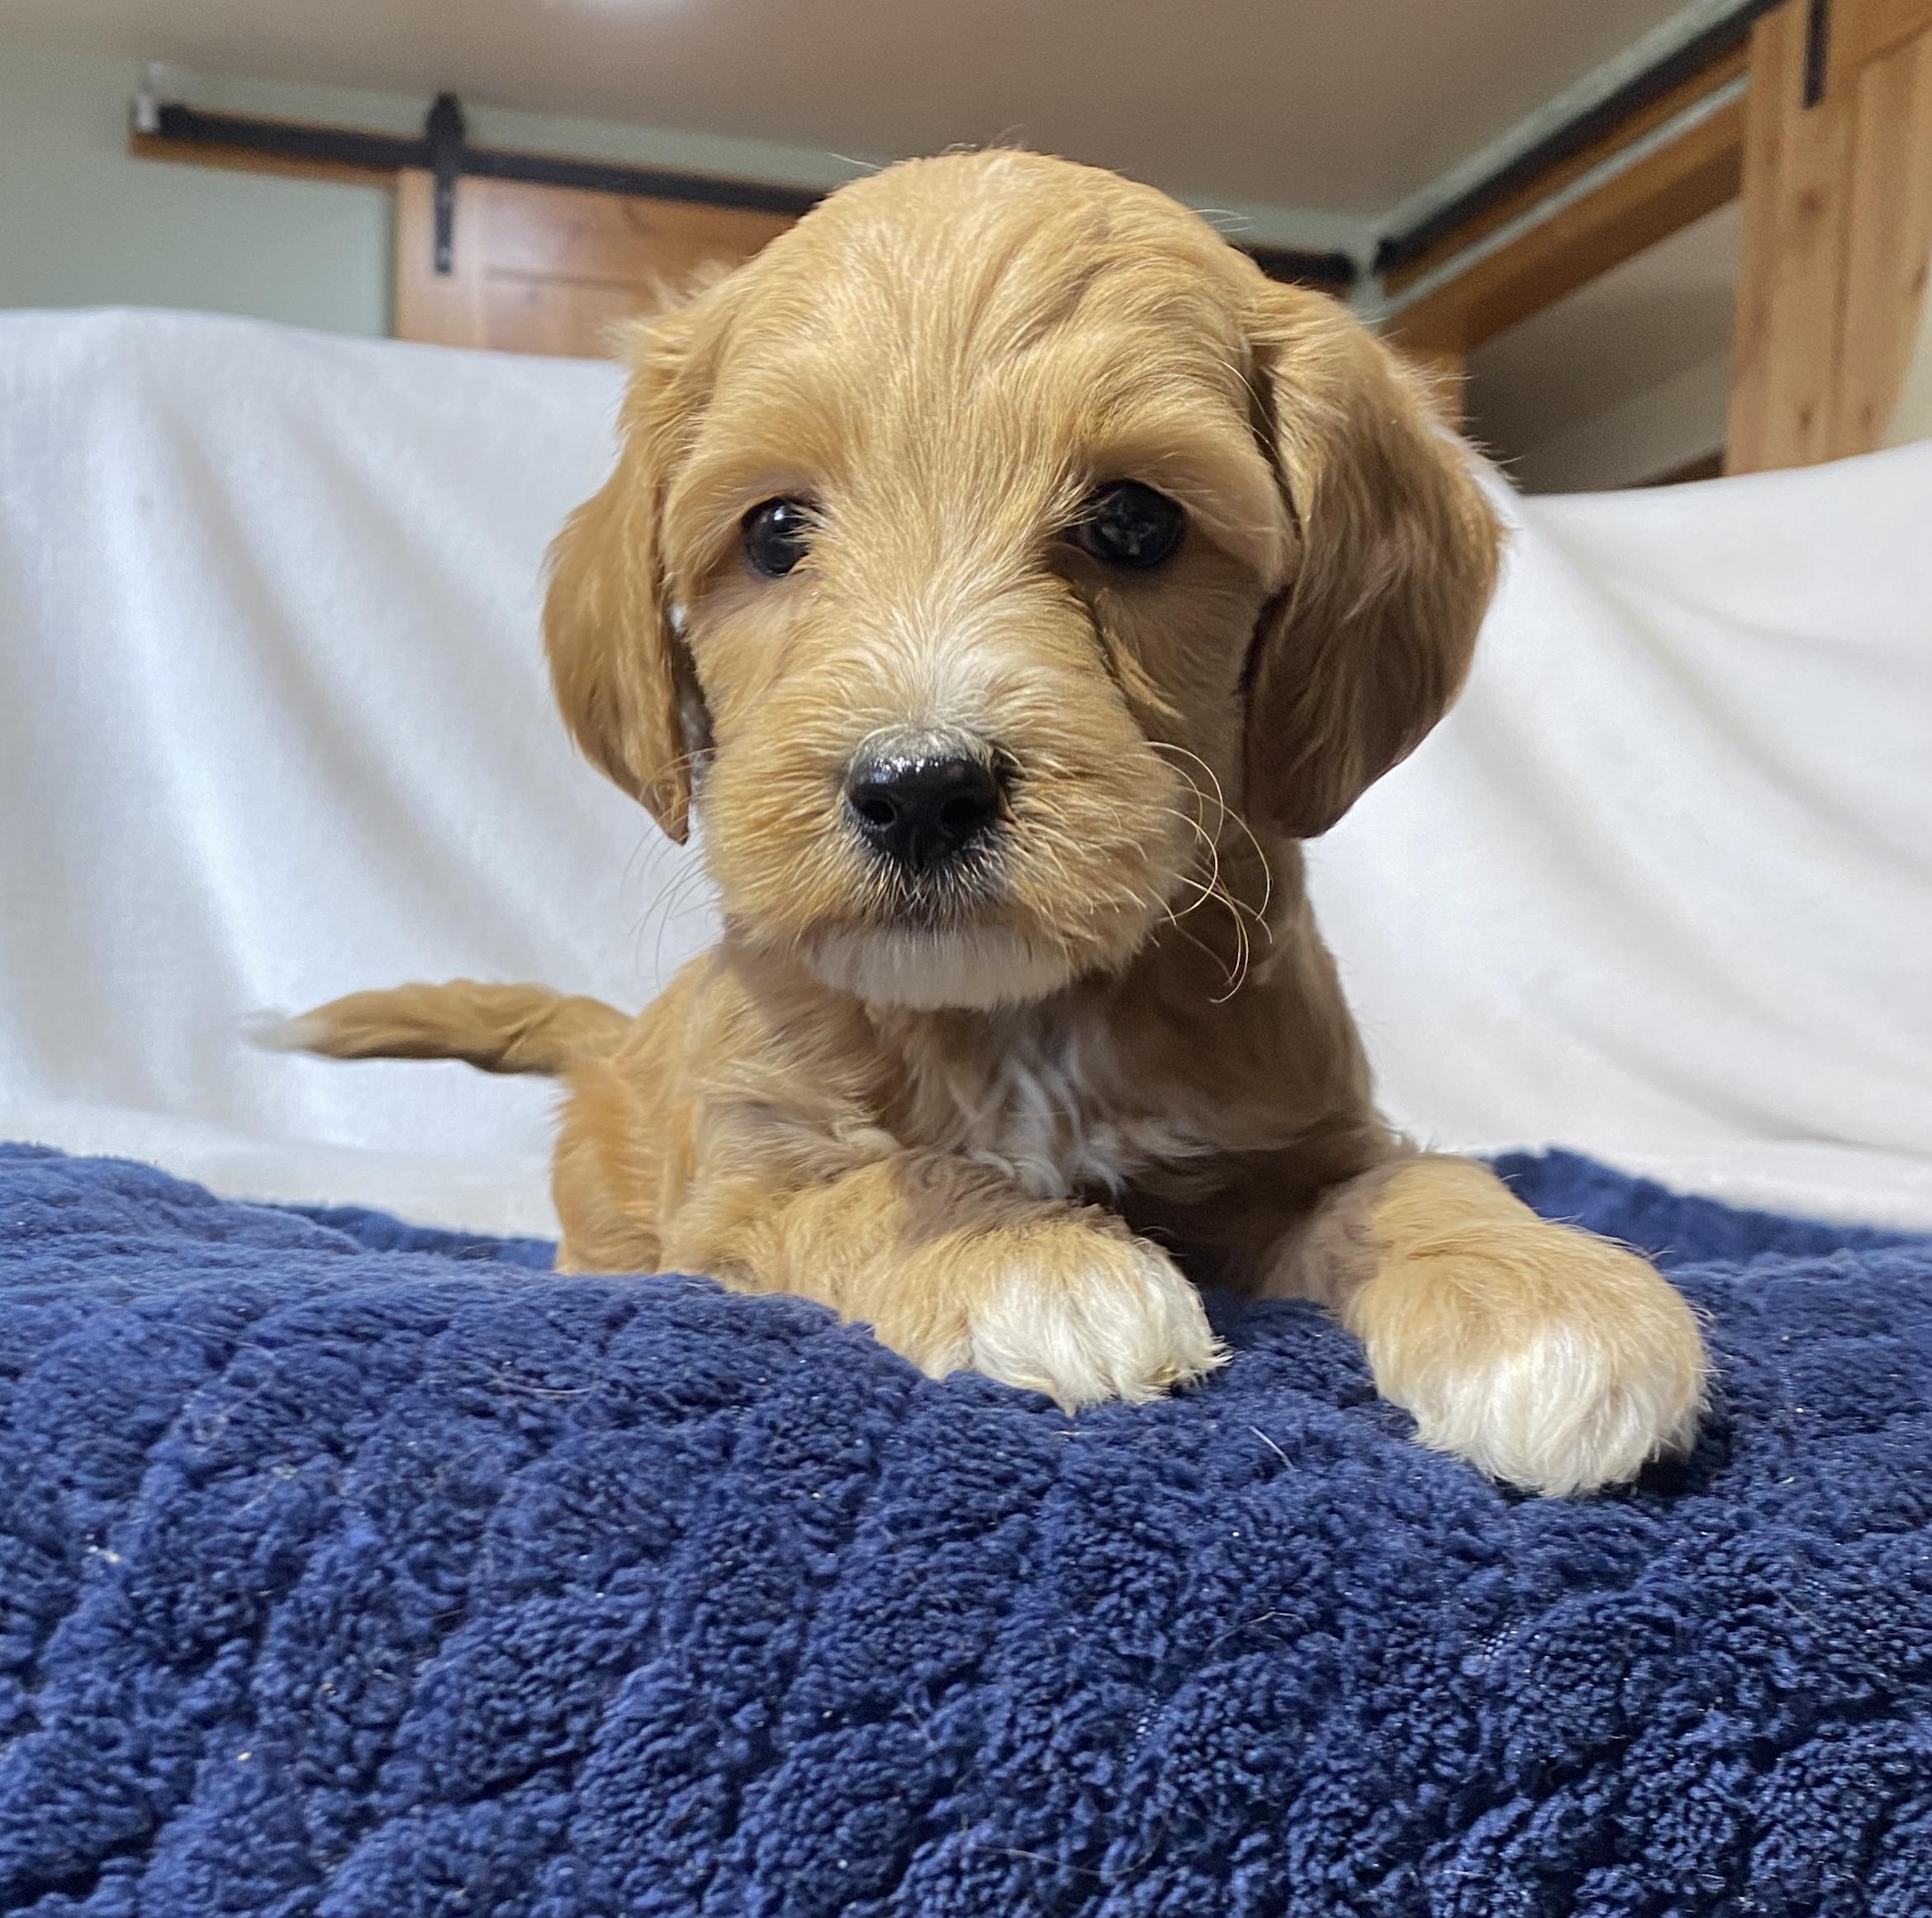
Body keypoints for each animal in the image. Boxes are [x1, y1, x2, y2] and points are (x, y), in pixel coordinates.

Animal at [282, 150, 1707, 1496]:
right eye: (775, 528)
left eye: (1134, 521)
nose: (919, 786)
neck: (1017, 1019)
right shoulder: (744, 1178)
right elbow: (870, 1184)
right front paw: (1023, 1257)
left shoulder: (1296, 1142)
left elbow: (1417, 1181)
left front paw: (1546, 1300)